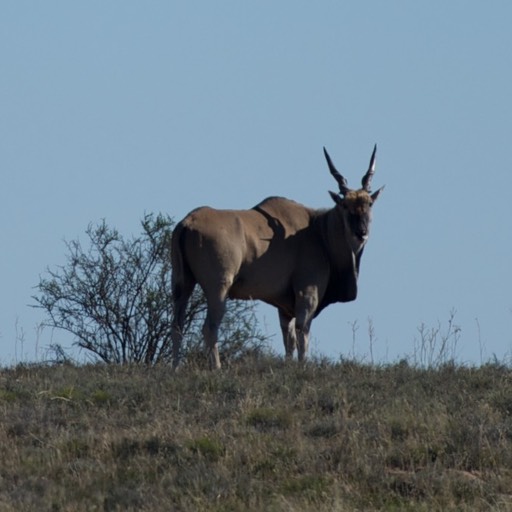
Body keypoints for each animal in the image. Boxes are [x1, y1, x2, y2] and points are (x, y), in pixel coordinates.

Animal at [170, 146, 382, 366]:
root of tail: (187, 222)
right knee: (210, 327)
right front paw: (302, 367)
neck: (318, 230)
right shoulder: (307, 293)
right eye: (345, 206)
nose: (361, 232)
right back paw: (217, 368)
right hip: (219, 287)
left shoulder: (284, 308)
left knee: (176, 325)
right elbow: (302, 334)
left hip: (182, 284)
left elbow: (288, 339)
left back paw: (176, 368)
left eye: (369, 204)